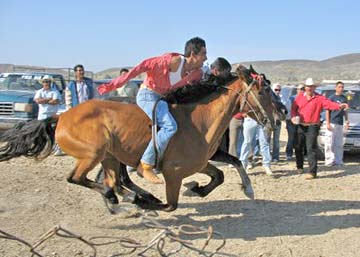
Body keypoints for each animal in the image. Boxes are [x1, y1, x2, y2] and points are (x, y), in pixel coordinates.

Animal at [0, 65, 280, 210]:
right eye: (263, 90)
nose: (277, 119)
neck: (200, 121)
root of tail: (62, 116)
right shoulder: (172, 173)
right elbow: (170, 205)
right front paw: (150, 200)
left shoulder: (200, 163)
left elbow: (223, 172)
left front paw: (199, 189)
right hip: (94, 154)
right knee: (79, 178)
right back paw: (126, 198)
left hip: (110, 156)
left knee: (114, 181)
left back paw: (121, 197)